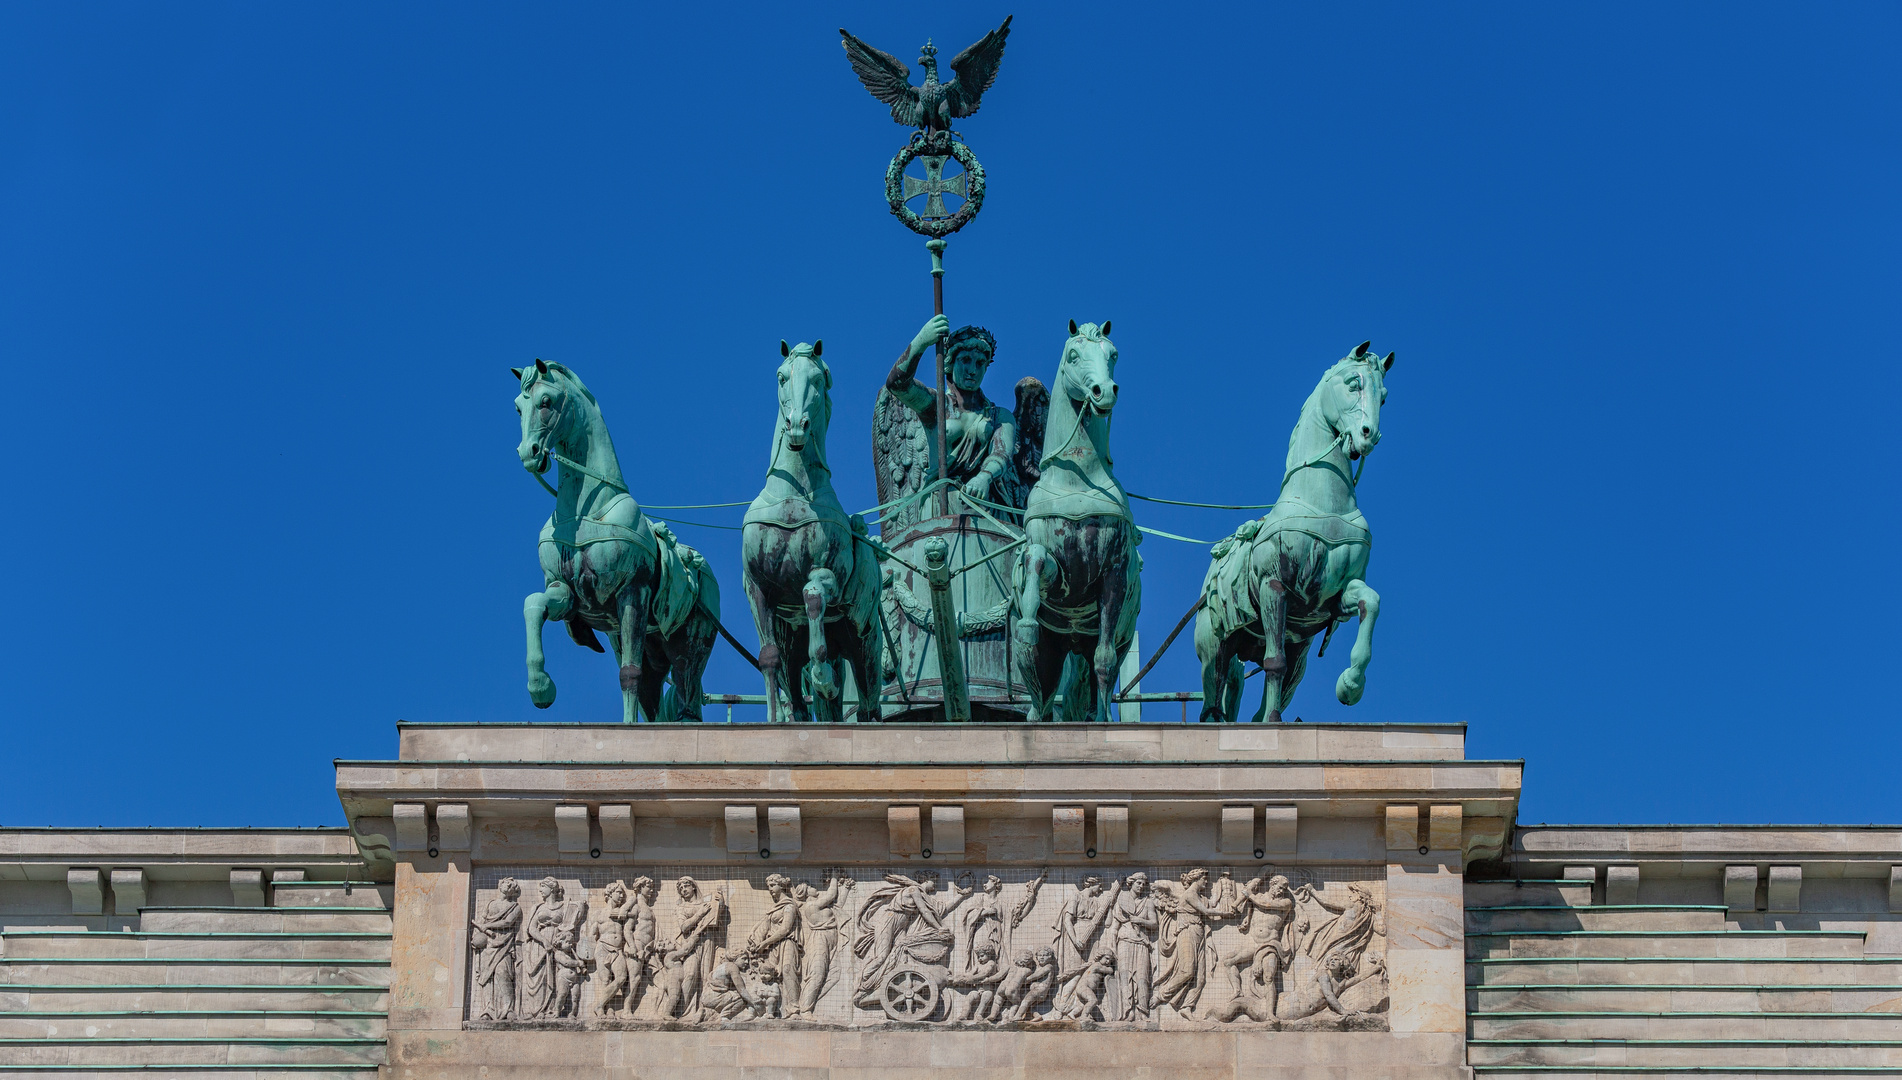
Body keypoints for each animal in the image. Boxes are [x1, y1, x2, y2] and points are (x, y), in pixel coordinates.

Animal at [513, 359, 718, 722]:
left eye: (546, 402)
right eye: (517, 407)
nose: (528, 453)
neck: (586, 512)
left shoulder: (632, 593)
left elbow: (628, 673)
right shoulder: (564, 591)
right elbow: (533, 603)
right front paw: (541, 686)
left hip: (689, 646)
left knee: (684, 697)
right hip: (651, 648)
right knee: (653, 699)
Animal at [745, 342, 886, 722]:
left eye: (819, 379)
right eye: (781, 376)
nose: (796, 426)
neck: (792, 495)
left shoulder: (827, 573)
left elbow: (811, 597)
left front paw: (824, 680)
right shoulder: (757, 588)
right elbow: (768, 657)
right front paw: (773, 719)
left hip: (865, 646)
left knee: (869, 703)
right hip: (796, 648)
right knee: (795, 688)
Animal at [1011, 321, 1141, 726]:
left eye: (1113, 354)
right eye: (1072, 354)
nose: (1104, 391)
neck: (1078, 480)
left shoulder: (1113, 574)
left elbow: (1104, 660)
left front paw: (1104, 722)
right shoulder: (1058, 570)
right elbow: (1036, 559)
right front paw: (1028, 619)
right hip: (1046, 658)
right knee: (1040, 699)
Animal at [1194, 342, 1392, 722]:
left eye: (1384, 396)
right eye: (1353, 383)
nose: (1369, 435)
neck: (1323, 503)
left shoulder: (1333, 597)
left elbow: (1370, 602)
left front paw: (1351, 683)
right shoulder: (1273, 585)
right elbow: (1274, 662)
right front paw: (1274, 724)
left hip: (1299, 651)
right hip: (1215, 646)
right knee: (1212, 701)